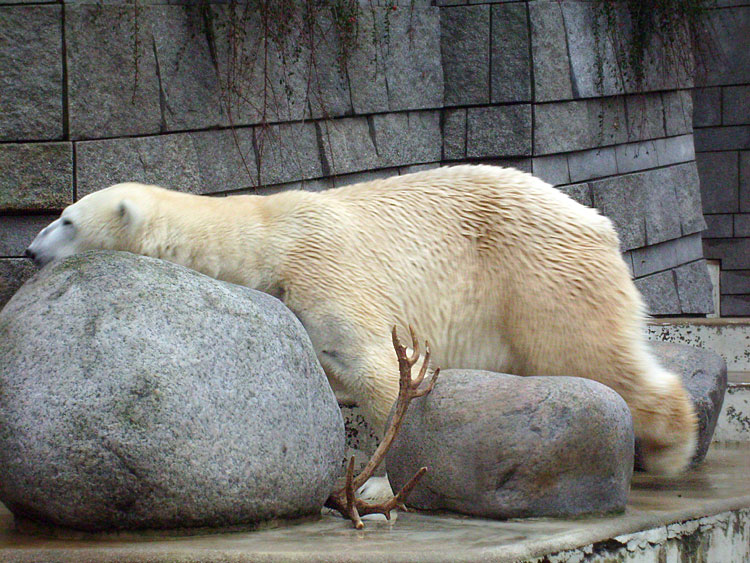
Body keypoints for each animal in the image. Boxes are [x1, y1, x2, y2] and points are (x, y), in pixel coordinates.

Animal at [27, 166, 700, 476]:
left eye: (65, 219)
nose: (30, 251)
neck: (264, 236)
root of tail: (596, 220)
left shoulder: (324, 271)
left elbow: (377, 370)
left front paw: (384, 479)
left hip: (536, 273)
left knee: (587, 352)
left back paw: (668, 448)